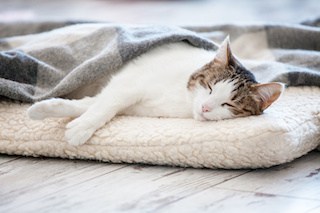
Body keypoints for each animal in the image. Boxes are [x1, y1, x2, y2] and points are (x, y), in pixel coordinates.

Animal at [26, 37, 282, 146]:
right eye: (210, 87)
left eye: (229, 104)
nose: (205, 107)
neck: (182, 99)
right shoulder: (128, 82)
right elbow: (105, 106)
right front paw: (79, 126)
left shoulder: (129, 100)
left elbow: (94, 103)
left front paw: (52, 109)